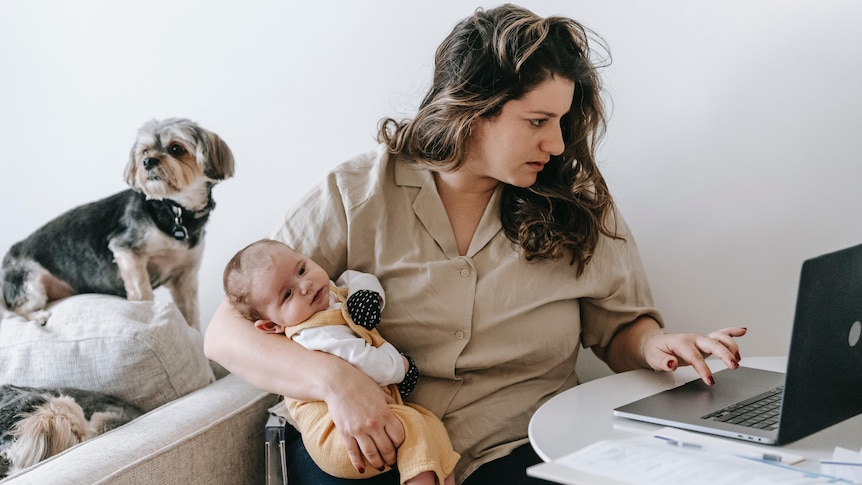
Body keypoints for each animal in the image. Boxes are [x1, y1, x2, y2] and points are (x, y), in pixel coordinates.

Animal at [0, 118, 235, 328]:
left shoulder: (184, 275)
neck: (173, 209)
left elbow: (190, 314)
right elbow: (142, 292)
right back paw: (38, 317)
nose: (148, 162)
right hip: (29, 284)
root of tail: (8, 256)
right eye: (145, 151)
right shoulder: (127, 251)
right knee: (14, 310)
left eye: (176, 148)